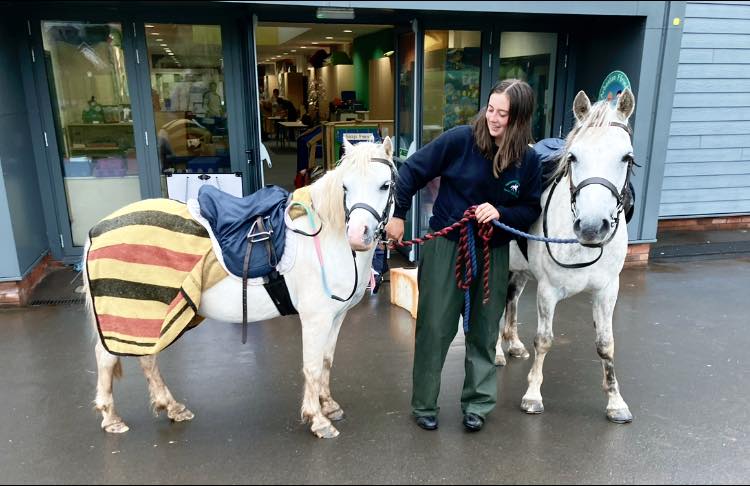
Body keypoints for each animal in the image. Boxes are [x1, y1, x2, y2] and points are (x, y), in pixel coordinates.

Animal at [86, 137, 400, 436]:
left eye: (385, 185)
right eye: (345, 186)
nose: (357, 235)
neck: (324, 236)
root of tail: (97, 230)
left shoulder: (335, 317)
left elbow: (325, 360)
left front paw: (329, 405)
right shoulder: (315, 318)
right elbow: (311, 366)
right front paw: (318, 420)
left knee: (146, 359)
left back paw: (171, 407)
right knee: (107, 357)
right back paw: (111, 418)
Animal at [496, 89, 636, 424]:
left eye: (626, 158)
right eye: (572, 157)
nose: (591, 227)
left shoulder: (607, 290)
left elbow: (605, 343)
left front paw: (615, 400)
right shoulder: (548, 291)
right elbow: (545, 339)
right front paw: (533, 395)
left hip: (520, 270)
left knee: (511, 299)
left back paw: (513, 344)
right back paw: (496, 352)